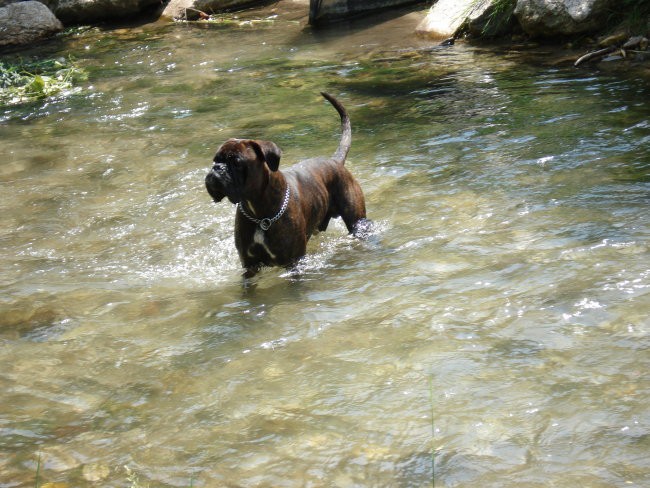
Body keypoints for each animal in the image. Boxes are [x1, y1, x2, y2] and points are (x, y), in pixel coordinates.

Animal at [208, 91, 370, 274]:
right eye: (215, 160)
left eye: (236, 162)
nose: (217, 168)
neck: (259, 215)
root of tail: (335, 161)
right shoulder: (249, 265)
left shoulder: (295, 262)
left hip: (358, 223)